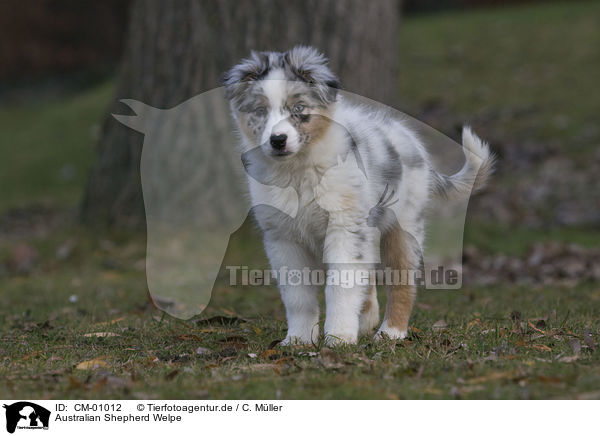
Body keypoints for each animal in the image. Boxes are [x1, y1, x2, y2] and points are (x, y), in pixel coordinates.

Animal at [223, 46, 494, 346]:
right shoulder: (283, 238)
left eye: (299, 109)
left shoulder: (345, 227)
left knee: (402, 285)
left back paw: (390, 332)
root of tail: (413, 143)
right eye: (260, 111)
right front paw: (298, 340)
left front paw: (339, 338)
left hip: (403, 228)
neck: (298, 170)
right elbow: (297, 294)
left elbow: (341, 285)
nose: (277, 140)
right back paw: (366, 321)